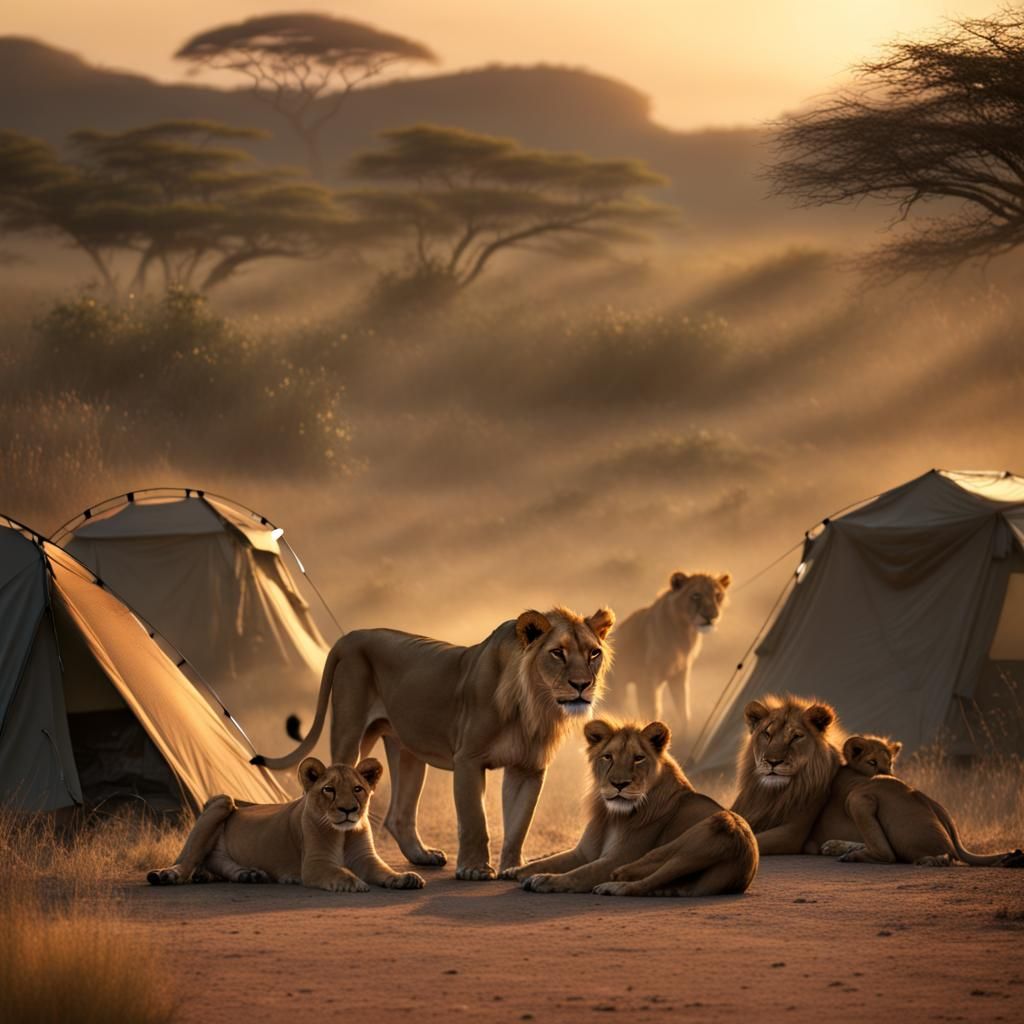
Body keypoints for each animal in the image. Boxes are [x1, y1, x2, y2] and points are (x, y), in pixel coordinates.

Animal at [147, 757, 425, 891]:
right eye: (329, 790)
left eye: (358, 789)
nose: (348, 810)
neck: (343, 834)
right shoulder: (314, 865)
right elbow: (339, 872)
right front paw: (354, 882)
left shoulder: (366, 858)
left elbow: (384, 870)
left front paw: (404, 878)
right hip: (222, 802)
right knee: (188, 859)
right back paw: (166, 875)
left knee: (214, 861)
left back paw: (249, 874)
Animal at [253, 606, 615, 881]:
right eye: (557, 653)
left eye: (593, 653)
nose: (582, 685)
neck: (532, 705)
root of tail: (352, 636)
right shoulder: (468, 759)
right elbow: (474, 819)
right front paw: (474, 869)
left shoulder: (528, 768)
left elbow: (518, 823)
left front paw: (513, 868)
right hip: (350, 731)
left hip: (407, 750)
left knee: (399, 814)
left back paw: (423, 855)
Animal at [504, 718, 758, 896]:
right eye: (608, 757)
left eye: (638, 758)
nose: (619, 784)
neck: (611, 815)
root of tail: (744, 857)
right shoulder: (583, 853)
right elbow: (551, 861)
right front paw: (514, 870)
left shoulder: (617, 857)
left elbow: (579, 873)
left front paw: (545, 879)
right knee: (651, 883)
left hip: (694, 838)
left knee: (637, 878)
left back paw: (612, 886)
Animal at [604, 571, 731, 741]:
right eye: (696, 595)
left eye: (717, 595)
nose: (711, 616)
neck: (684, 632)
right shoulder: (649, 678)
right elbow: (652, 708)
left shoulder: (680, 674)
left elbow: (683, 708)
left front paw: (685, 734)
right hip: (616, 687)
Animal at [809, 736, 1024, 868]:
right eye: (872, 762)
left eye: (890, 763)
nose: (890, 774)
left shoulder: (859, 795)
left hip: (858, 800)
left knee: (888, 854)